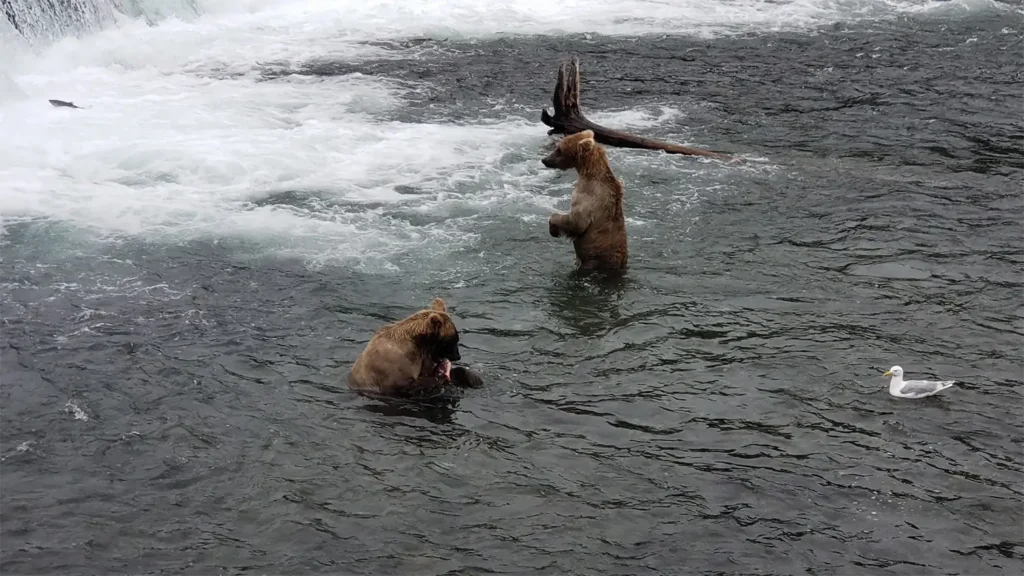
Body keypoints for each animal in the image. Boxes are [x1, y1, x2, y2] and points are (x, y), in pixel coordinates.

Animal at [348, 297, 484, 397]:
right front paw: (440, 376)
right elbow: (407, 385)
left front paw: (472, 378)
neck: (418, 345)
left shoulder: (423, 359)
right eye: (451, 341)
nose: (457, 356)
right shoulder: (392, 367)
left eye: (456, 339)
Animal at [542, 130, 628, 270]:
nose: (544, 160)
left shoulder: (588, 196)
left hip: (595, 259)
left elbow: (577, 222)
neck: (588, 172)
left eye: (559, 149)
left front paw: (553, 229)